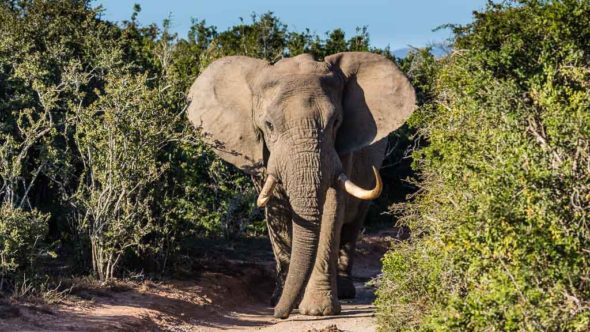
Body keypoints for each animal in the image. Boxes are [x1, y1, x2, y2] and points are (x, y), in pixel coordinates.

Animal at [188, 50, 416, 318]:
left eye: (335, 122)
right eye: (269, 125)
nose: (278, 314)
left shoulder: (341, 150)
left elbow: (332, 208)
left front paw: (317, 310)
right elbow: (277, 211)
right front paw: (282, 299)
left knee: (352, 224)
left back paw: (344, 291)